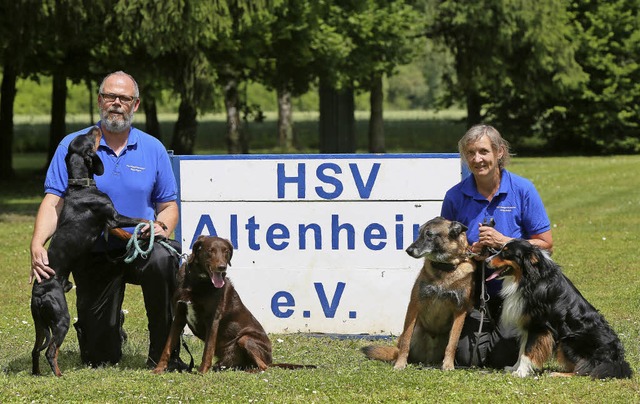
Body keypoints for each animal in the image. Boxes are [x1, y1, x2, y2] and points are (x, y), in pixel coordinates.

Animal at [155, 235, 316, 374]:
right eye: (210, 251)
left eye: (226, 251)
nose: (222, 267)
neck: (198, 281)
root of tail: (270, 360)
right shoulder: (179, 316)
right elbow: (167, 347)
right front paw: (158, 369)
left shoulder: (212, 319)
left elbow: (208, 349)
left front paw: (202, 371)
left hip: (245, 338)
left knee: (263, 367)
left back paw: (250, 371)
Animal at [360, 216, 476, 370]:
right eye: (419, 233)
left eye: (429, 234)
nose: (408, 250)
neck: (444, 269)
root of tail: (428, 359)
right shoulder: (414, 305)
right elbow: (406, 341)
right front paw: (400, 364)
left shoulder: (459, 311)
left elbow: (453, 343)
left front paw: (448, 365)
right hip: (416, 329)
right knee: (401, 346)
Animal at [488, 238, 632, 378]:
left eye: (506, 252)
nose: (486, 260)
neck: (529, 278)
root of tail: (617, 360)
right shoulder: (527, 324)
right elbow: (522, 350)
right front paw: (514, 368)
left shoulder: (538, 326)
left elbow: (527, 352)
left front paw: (521, 373)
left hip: (568, 341)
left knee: (584, 370)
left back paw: (556, 373)